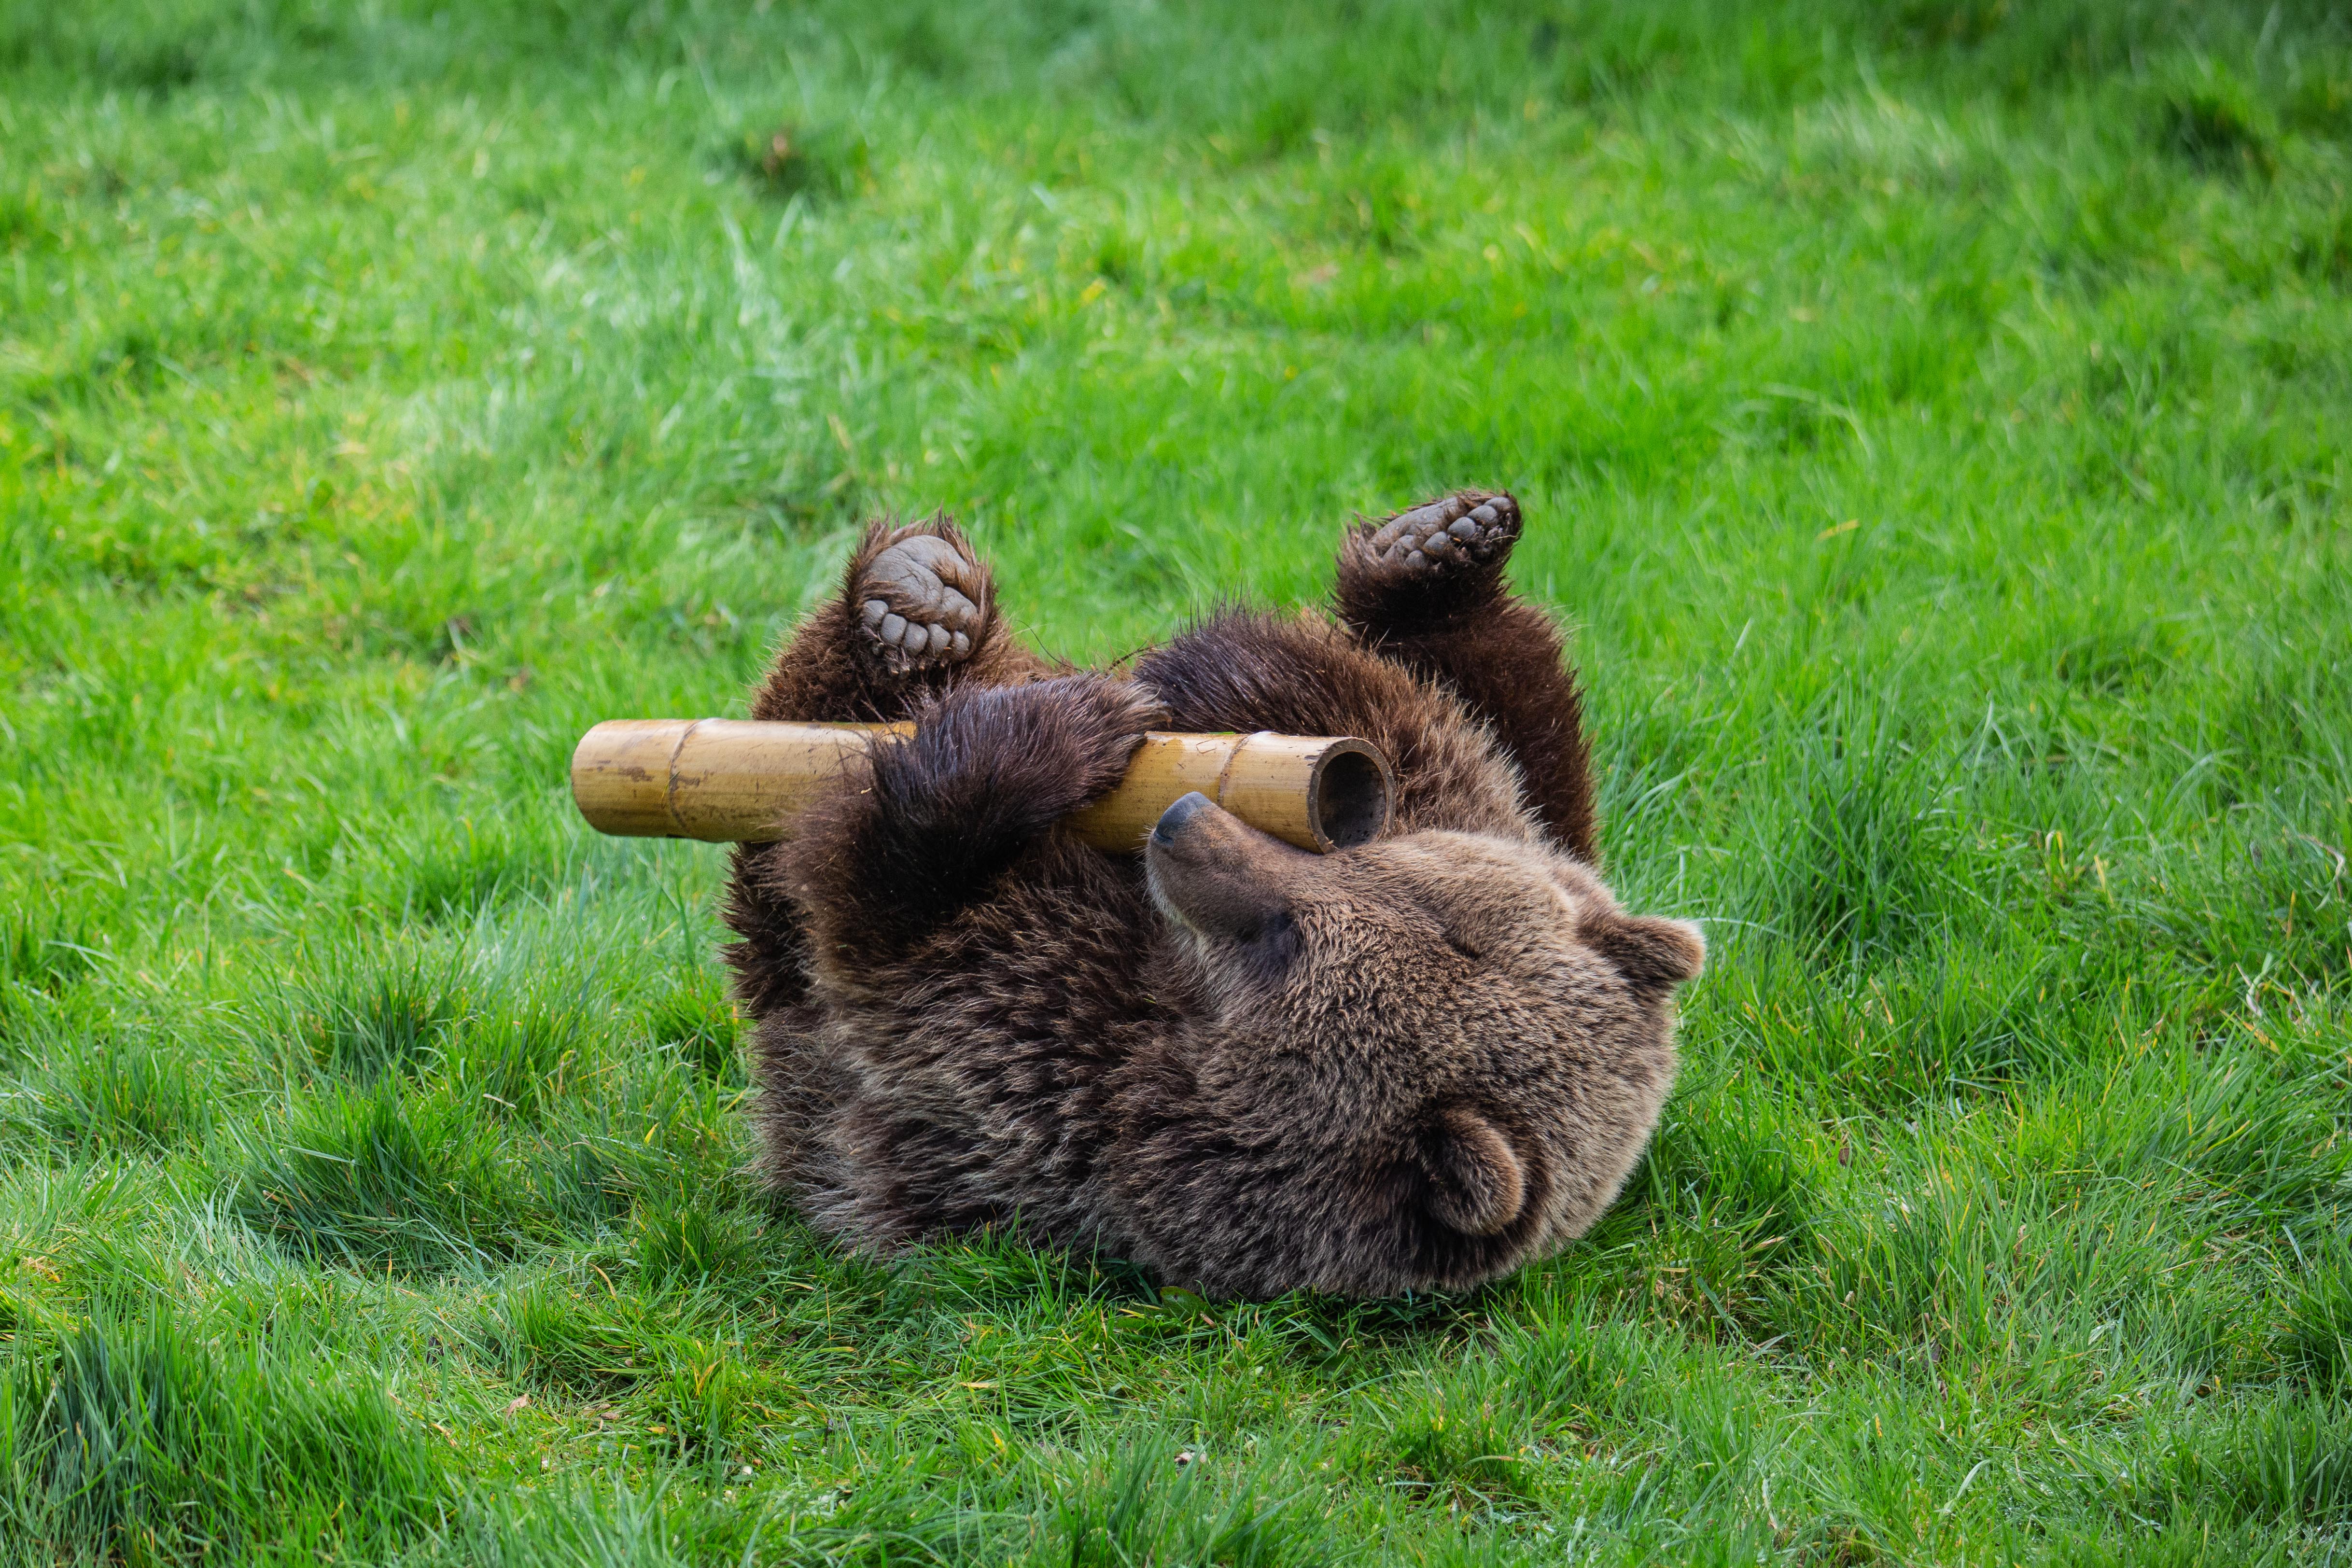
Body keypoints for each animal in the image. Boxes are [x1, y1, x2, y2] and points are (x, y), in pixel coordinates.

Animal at [724, 493, 1703, 1298]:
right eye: (1391, 879)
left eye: (1282, 941)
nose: (1184, 818)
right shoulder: (1482, 802)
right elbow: (1444, 718)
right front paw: (1430, 554)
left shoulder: (1066, 1077)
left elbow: (889, 925)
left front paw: (1050, 734)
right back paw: (917, 596)